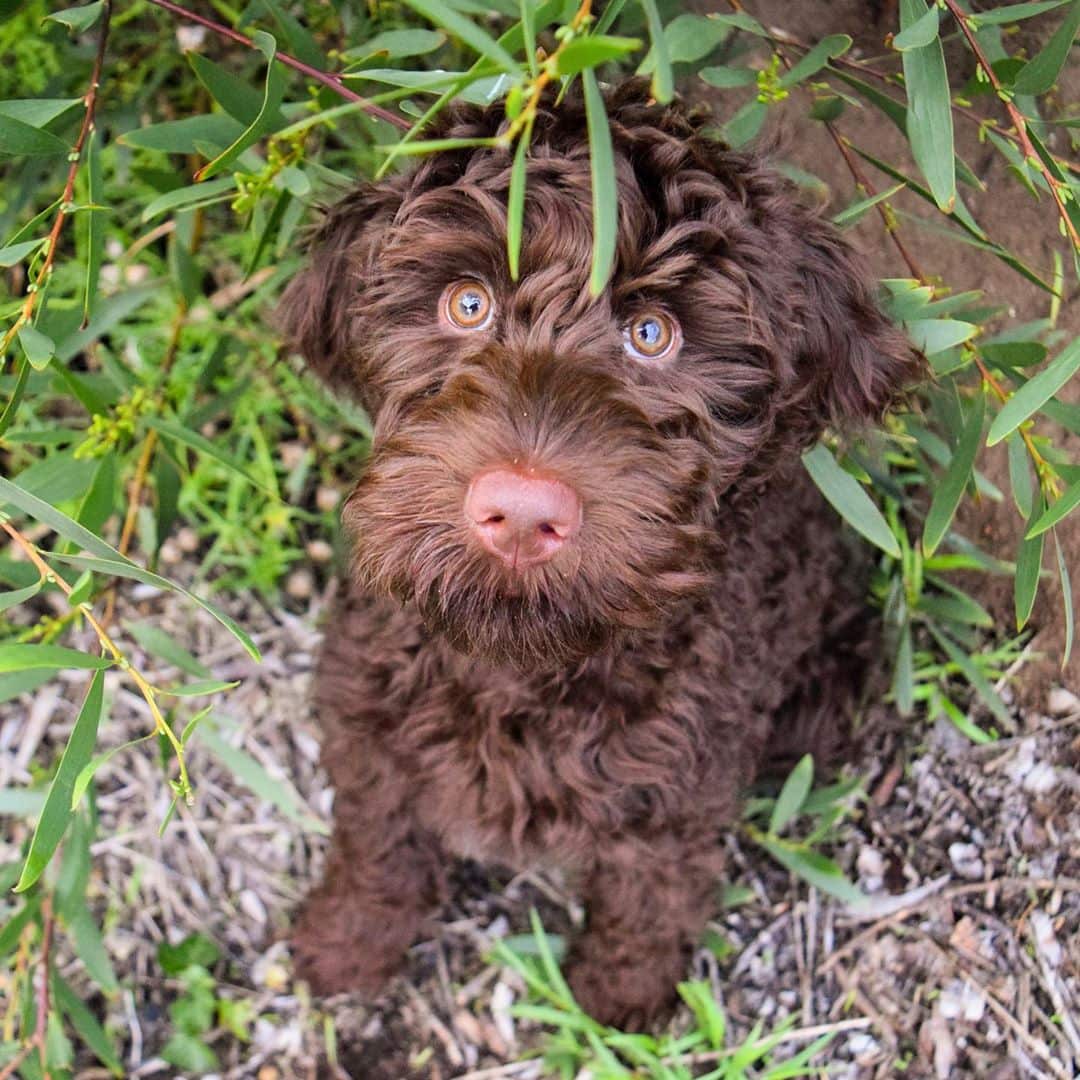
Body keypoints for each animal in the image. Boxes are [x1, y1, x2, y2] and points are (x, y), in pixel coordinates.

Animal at [278, 79, 920, 1023]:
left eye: (653, 334)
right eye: (466, 303)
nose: (519, 511)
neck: (524, 661)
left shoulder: (682, 774)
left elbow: (654, 887)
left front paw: (620, 1000)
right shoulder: (369, 712)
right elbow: (379, 836)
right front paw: (348, 942)